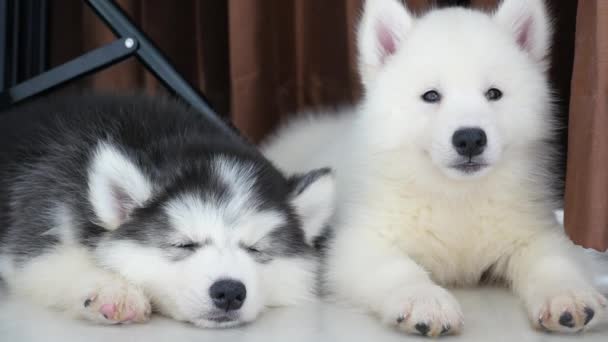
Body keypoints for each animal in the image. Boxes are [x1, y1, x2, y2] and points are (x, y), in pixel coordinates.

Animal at [0, 93, 332, 328]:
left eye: (255, 249)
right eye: (184, 244)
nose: (229, 292)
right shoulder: (43, 207)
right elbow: (48, 256)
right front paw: (112, 288)